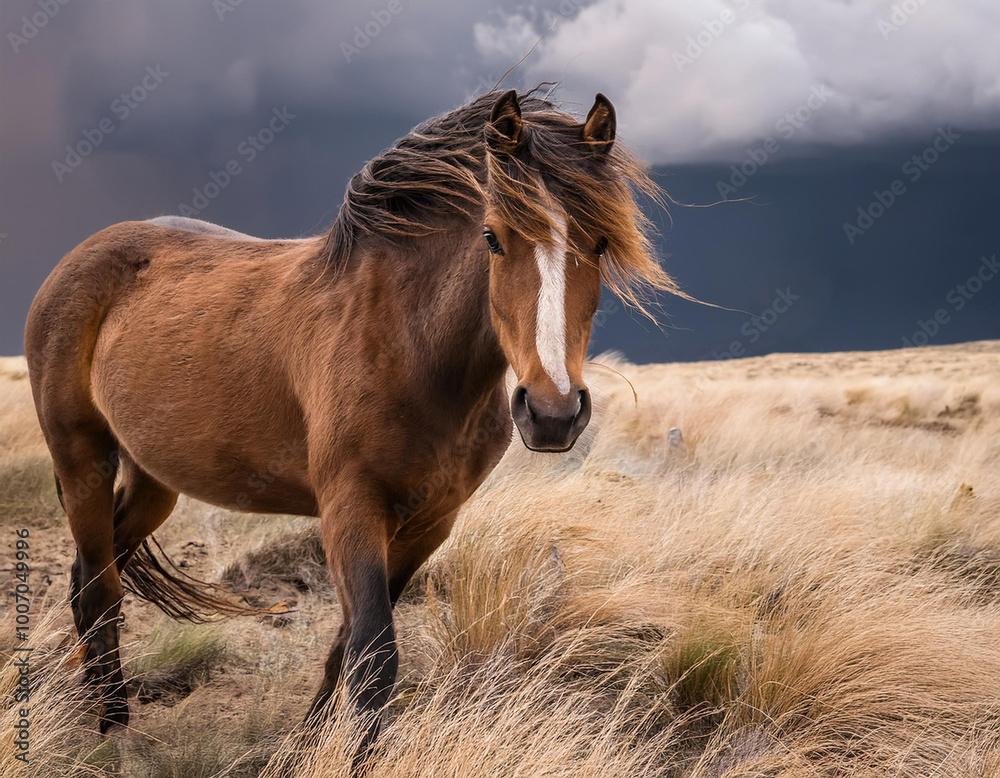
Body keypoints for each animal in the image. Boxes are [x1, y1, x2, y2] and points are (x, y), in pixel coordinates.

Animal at [24, 88, 681, 762]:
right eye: (493, 239)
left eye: (600, 243)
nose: (552, 412)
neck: (408, 347)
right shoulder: (351, 508)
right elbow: (373, 657)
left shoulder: (430, 522)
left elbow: (346, 648)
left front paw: (306, 747)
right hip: (82, 457)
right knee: (99, 588)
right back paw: (112, 731)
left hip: (154, 479)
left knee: (88, 576)